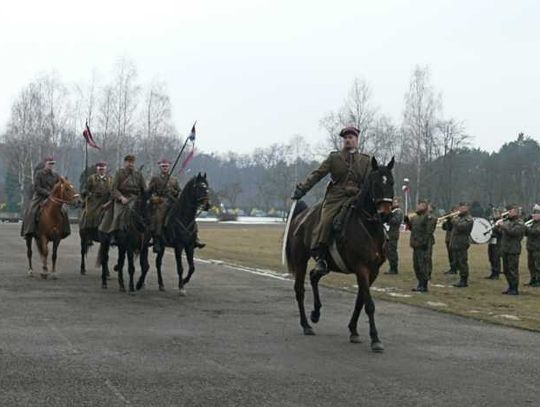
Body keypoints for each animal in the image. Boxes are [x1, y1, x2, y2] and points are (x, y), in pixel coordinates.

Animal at [284, 158, 394, 352]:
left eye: (392, 182)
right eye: (375, 183)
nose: (386, 214)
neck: (369, 228)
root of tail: (300, 217)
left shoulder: (372, 272)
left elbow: (360, 301)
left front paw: (353, 331)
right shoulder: (361, 268)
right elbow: (369, 304)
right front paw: (375, 339)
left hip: (326, 263)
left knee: (314, 276)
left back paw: (315, 313)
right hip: (300, 260)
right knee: (299, 290)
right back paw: (306, 324)